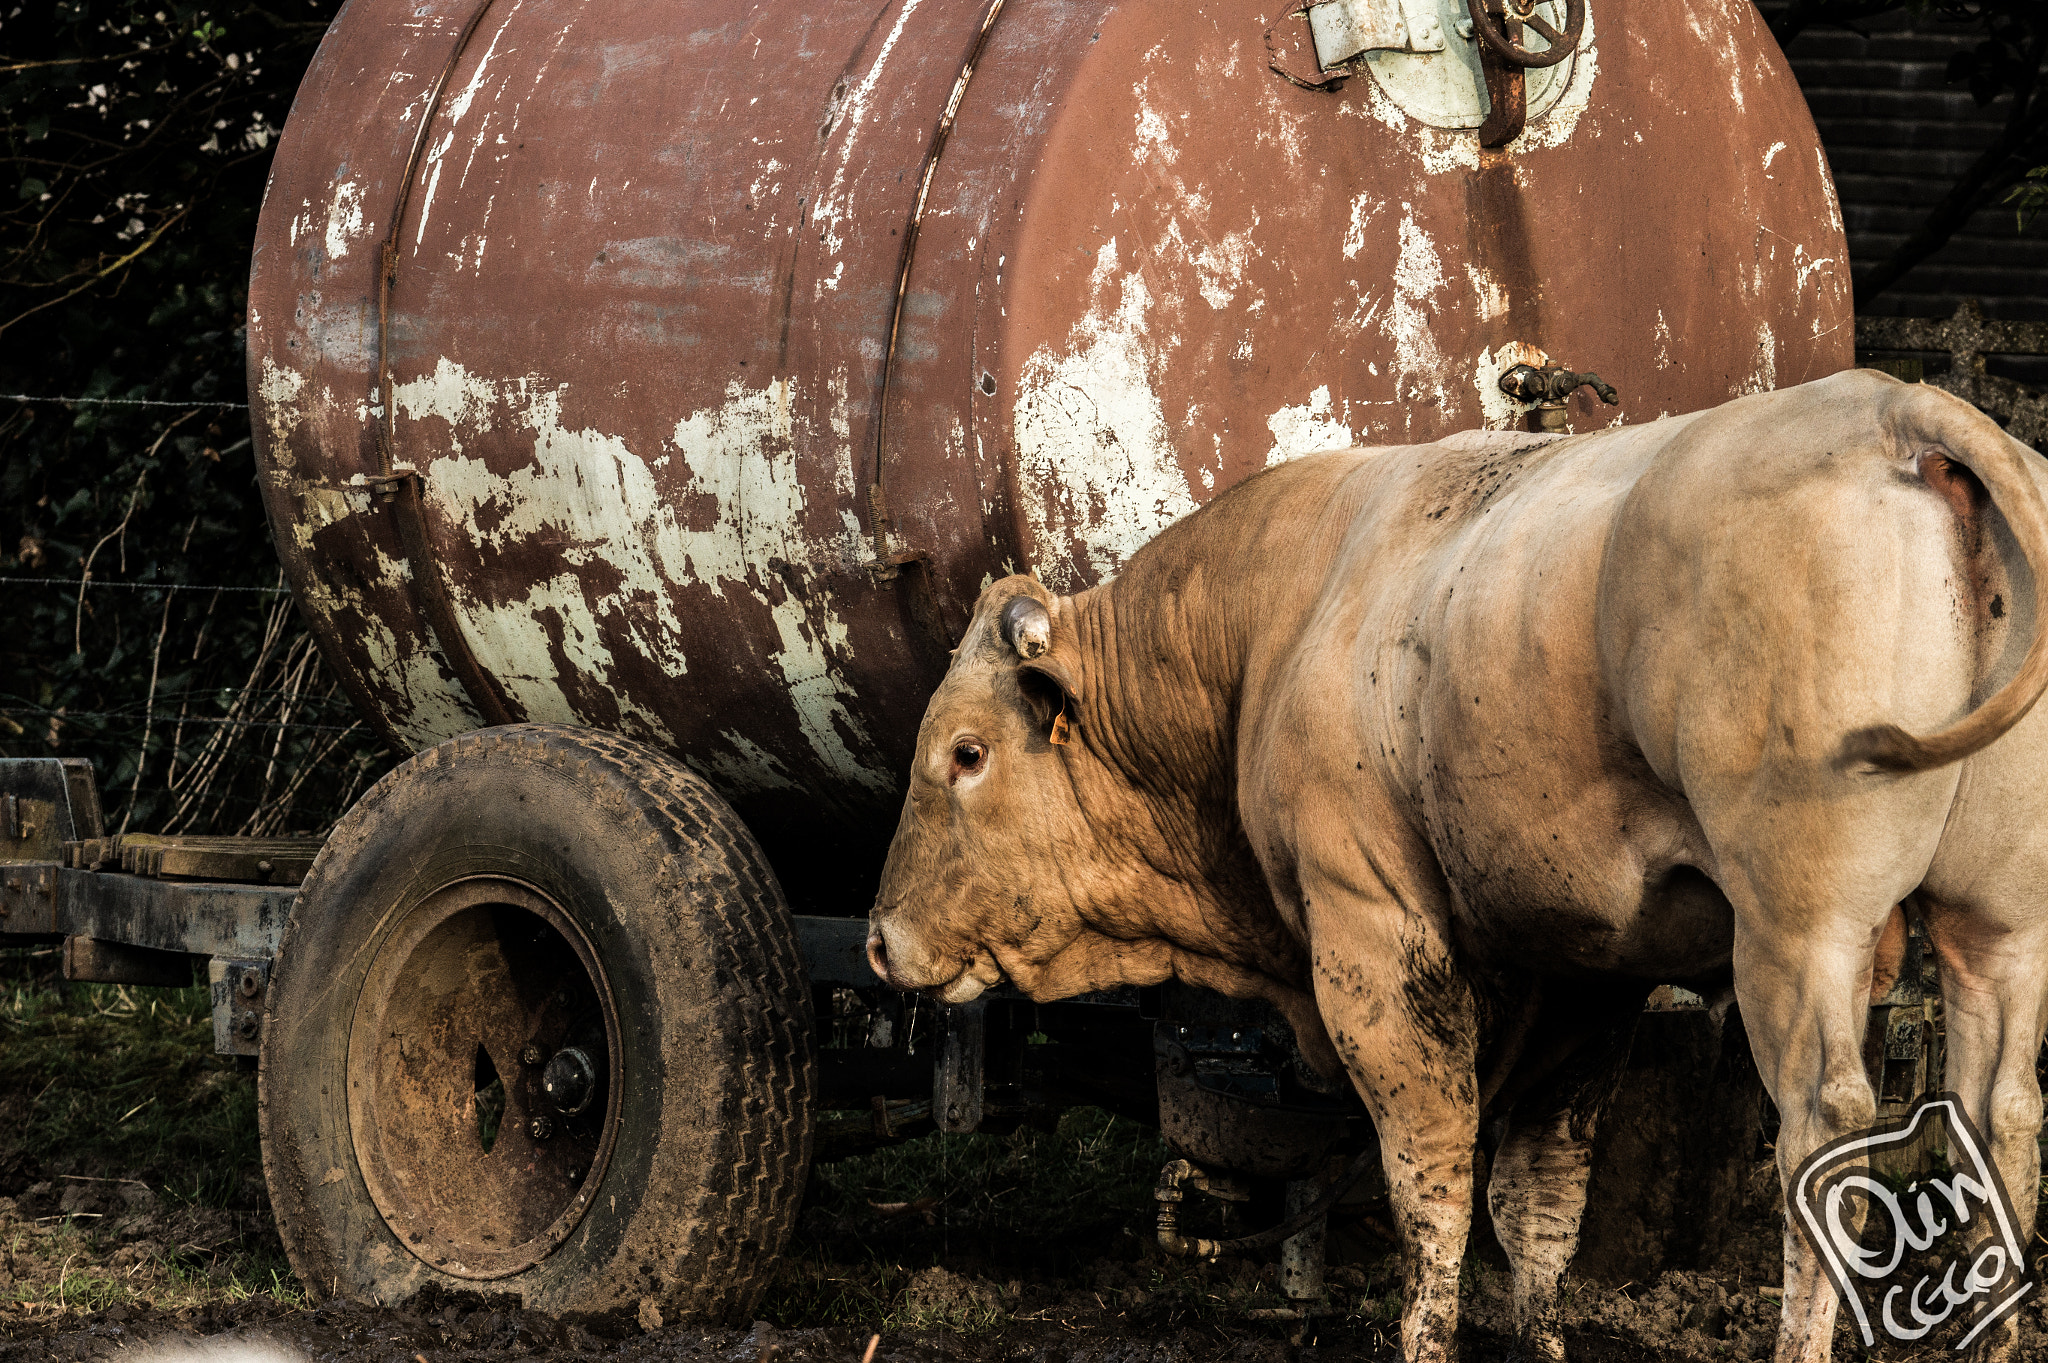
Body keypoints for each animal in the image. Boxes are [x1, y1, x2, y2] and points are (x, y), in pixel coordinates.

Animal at [860, 372, 2048, 1358]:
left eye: (964, 752)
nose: (878, 938)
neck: (1275, 621)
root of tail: (1896, 408)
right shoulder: (1584, 971)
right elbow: (1537, 1193)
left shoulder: (1373, 929)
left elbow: (1430, 1165)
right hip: (1995, 927)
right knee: (2002, 1111)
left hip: (1800, 931)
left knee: (1826, 1125)